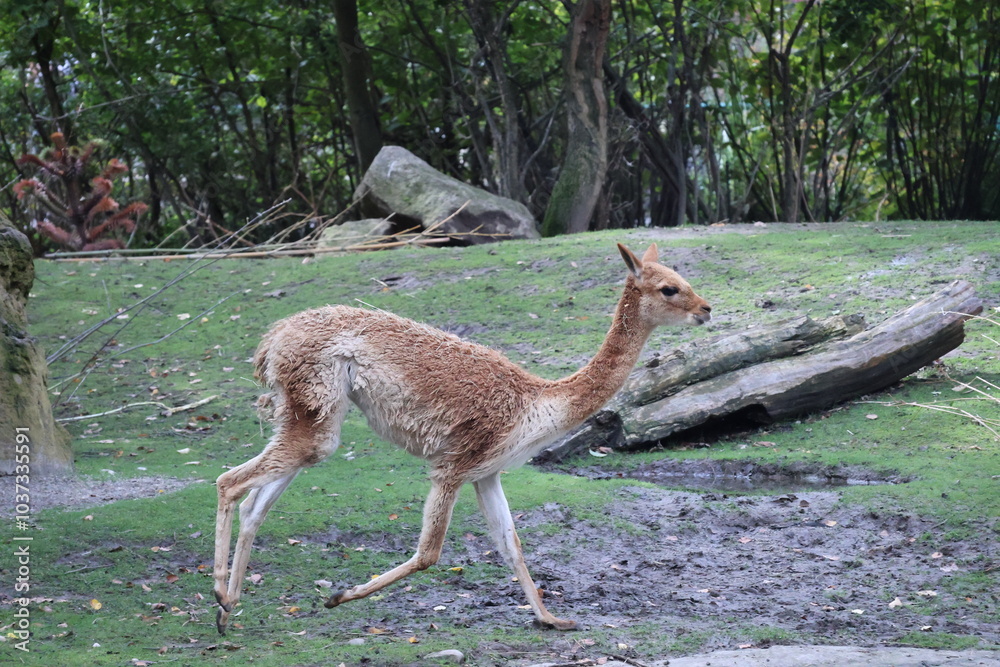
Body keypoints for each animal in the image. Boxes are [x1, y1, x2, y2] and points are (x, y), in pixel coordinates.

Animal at [213, 242, 711, 633]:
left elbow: (511, 546)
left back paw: (228, 607)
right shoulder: (454, 465)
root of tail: (275, 335)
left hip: (310, 417)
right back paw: (219, 593)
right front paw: (339, 596)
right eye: (669, 288)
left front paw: (551, 619)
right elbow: (430, 554)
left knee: (256, 503)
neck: (536, 403)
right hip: (316, 404)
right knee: (229, 482)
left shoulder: (487, 473)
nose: (706, 309)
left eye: (683, 279)